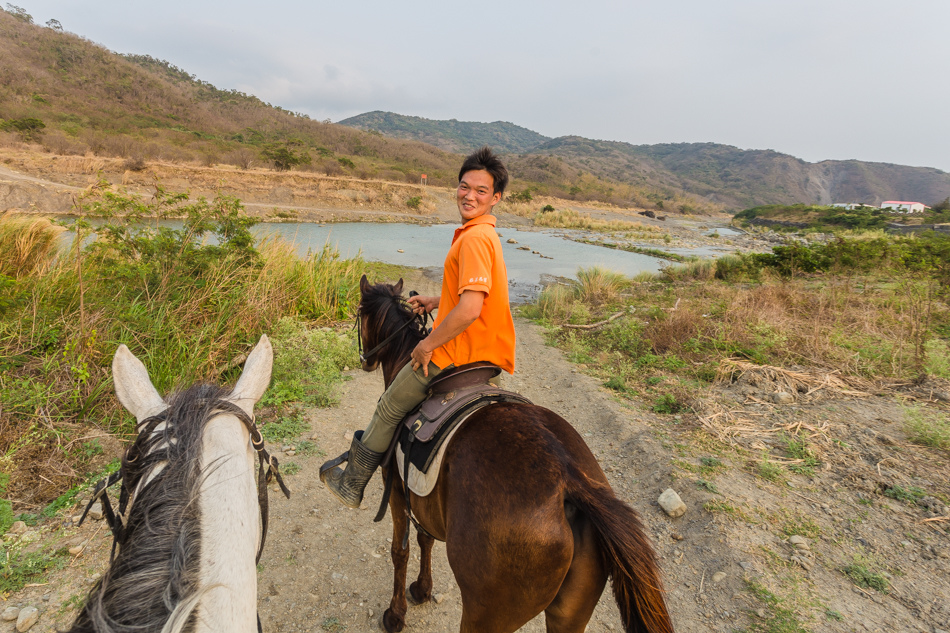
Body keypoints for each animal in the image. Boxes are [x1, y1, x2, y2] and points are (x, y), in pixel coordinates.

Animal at [356, 276, 676, 632]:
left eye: (358, 314)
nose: (365, 359)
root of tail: (570, 481)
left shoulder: (397, 489)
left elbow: (401, 551)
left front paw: (396, 613)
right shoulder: (420, 496)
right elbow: (425, 539)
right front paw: (422, 590)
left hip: (488, 613)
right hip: (569, 613)